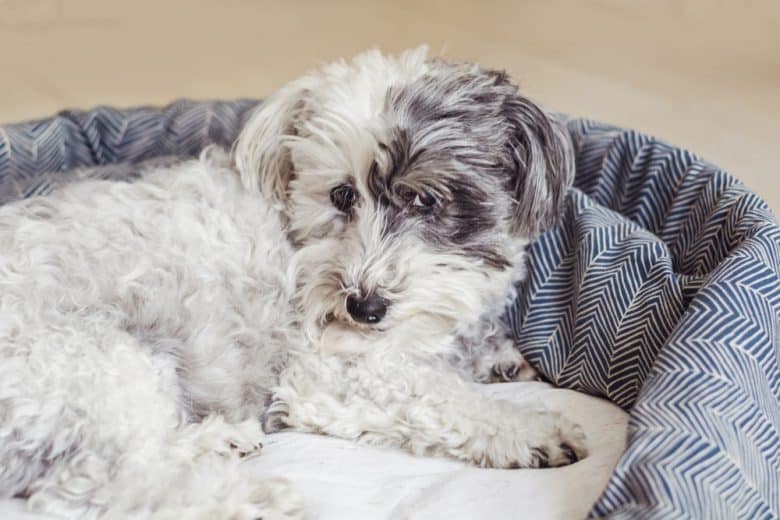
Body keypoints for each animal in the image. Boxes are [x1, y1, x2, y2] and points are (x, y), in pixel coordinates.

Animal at [0, 46, 584, 516]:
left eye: (425, 199)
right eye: (342, 195)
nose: (363, 307)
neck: (298, 241)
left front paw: (497, 354)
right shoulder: (332, 374)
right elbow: (444, 396)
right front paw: (533, 428)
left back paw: (220, 440)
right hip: (99, 366)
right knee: (114, 483)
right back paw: (251, 500)